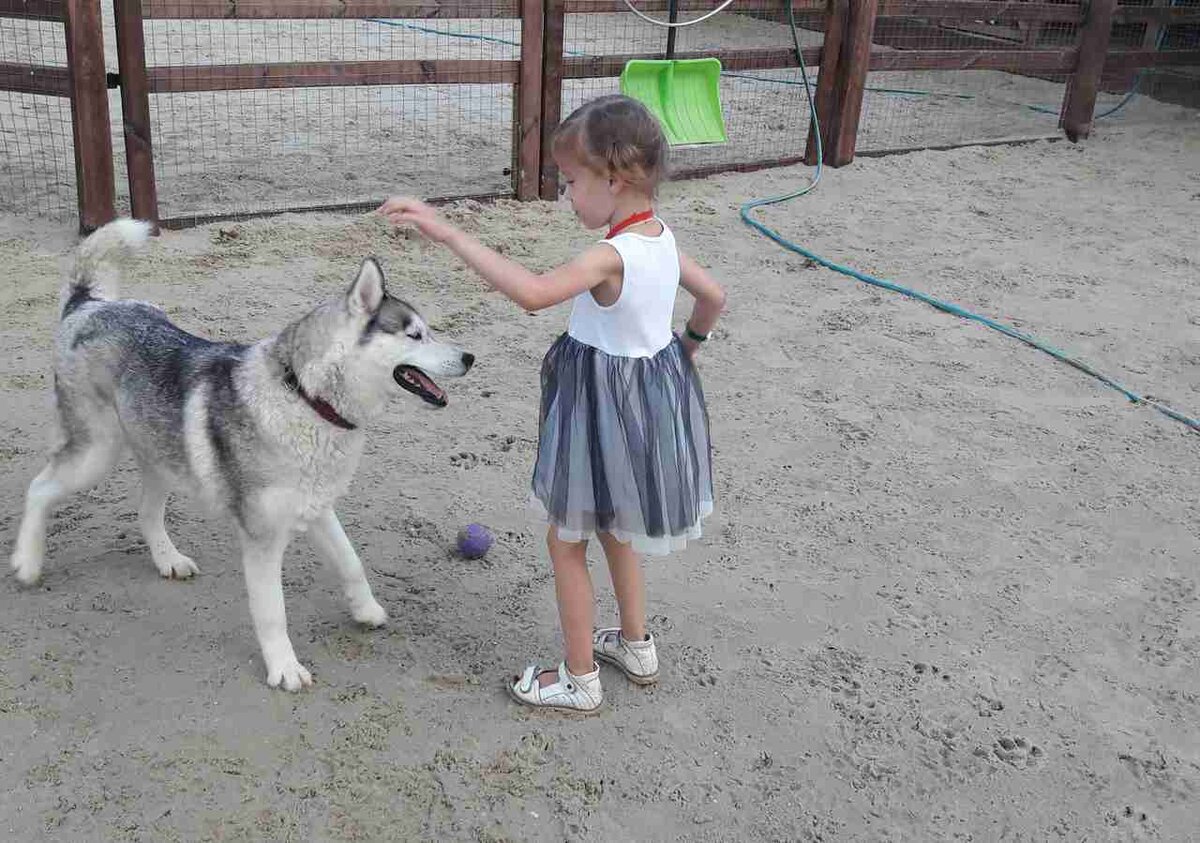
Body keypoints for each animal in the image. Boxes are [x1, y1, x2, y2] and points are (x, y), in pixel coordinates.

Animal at [9, 219, 470, 691]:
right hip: (95, 454)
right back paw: (27, 561)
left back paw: (167, 559)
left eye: (429, 330)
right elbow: (272, 611)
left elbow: (351, 562)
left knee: (146, 512)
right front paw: (284, 667)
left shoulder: (317, 508)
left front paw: (366, 610)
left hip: (159, 456)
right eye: (415, 334)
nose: (469, 357)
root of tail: (89, 305)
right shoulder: (262, 539)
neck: (305, 398)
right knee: (40, 487)